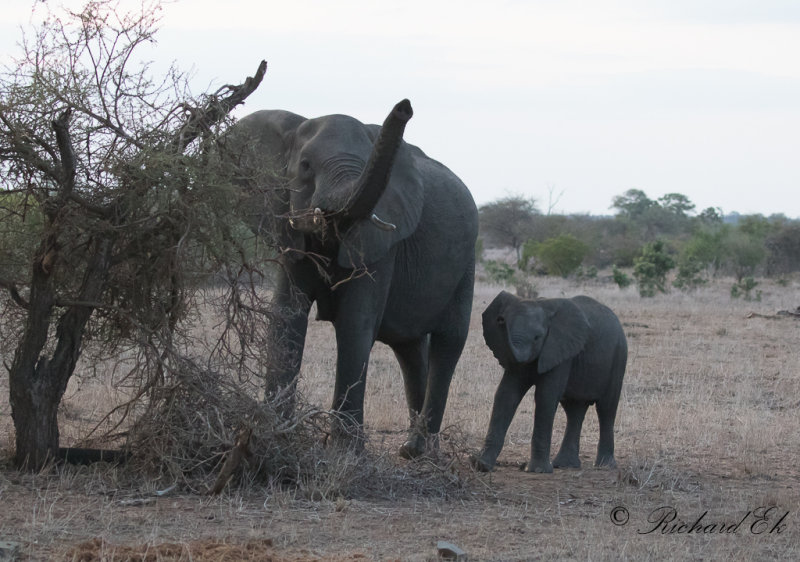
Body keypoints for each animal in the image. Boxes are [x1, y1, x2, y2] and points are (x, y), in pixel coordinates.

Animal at [231, 99, 482, 456]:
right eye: (305, 166)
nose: (404, 107)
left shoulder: (384, 242)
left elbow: (355, 322)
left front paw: (345, 452)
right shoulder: (289, 231)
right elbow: (286, 316)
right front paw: (272, 435)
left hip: (466, 262)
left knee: (448, 343)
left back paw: (426, 454)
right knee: (410, 349)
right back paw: (411, 449)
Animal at [472, 290, 628, 470]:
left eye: (537, 338)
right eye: (502, 323)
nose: (500, 319)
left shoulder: (560, 350)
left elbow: (545, 397)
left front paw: (537, 471)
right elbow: (506, 394)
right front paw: (480, 464)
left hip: (618, 357)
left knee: (606, 409)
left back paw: (604, 466)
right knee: (574, 411)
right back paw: (566, 465)